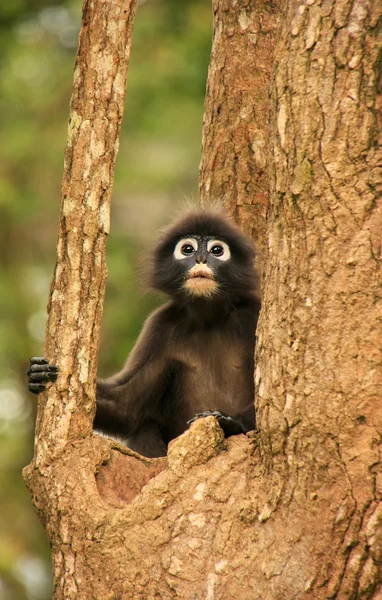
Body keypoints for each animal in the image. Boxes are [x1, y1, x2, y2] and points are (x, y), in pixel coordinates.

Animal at [26, 209, 260, 458]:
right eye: (188, 249)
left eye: (217, 250)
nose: (200, 259)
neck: (210, 318)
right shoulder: (160, 328)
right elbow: (126, 406)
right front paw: (37, 373)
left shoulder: (252, 315)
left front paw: (230, 422)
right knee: (144, 427)